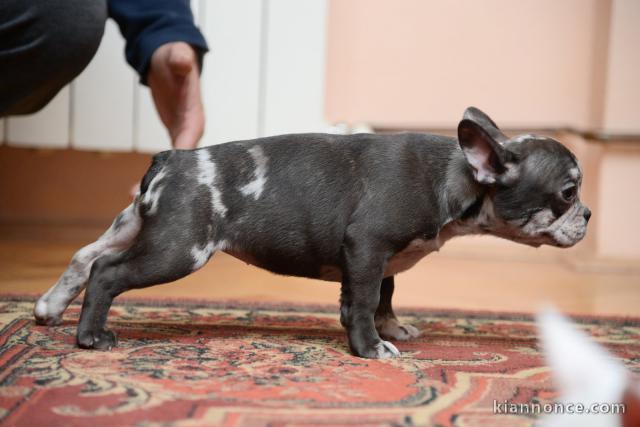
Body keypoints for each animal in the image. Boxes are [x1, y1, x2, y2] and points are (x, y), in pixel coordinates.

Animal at [33, 107, 592, 358]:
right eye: (568, 192)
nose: (587, 215)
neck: (455, 175)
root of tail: (172, 159)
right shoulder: (368, 247)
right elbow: (364, 300)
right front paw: (371, 348)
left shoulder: (380, 259)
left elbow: (382, 295)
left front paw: (390, 329)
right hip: (178, 249)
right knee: (106, 273)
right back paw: (91, 336)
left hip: (134, 224)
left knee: (85, 255)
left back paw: (48, 308)